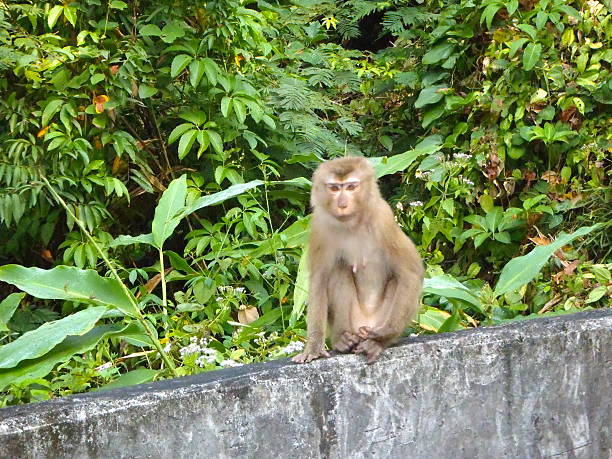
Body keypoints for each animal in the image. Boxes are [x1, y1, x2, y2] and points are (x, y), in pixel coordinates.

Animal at [292, 156, 420, 364]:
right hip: (353, 322)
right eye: (335, 188)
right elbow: (319, 280)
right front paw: (314, 347)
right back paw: (342, 339)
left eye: (351, 187)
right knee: (337, 271)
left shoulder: (384, 219)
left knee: (399, 281)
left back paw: (377, 342)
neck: (351, 223)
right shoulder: (319, 226)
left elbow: (410, 271)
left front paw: (385, 333)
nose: (342, 204)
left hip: (377, 320)